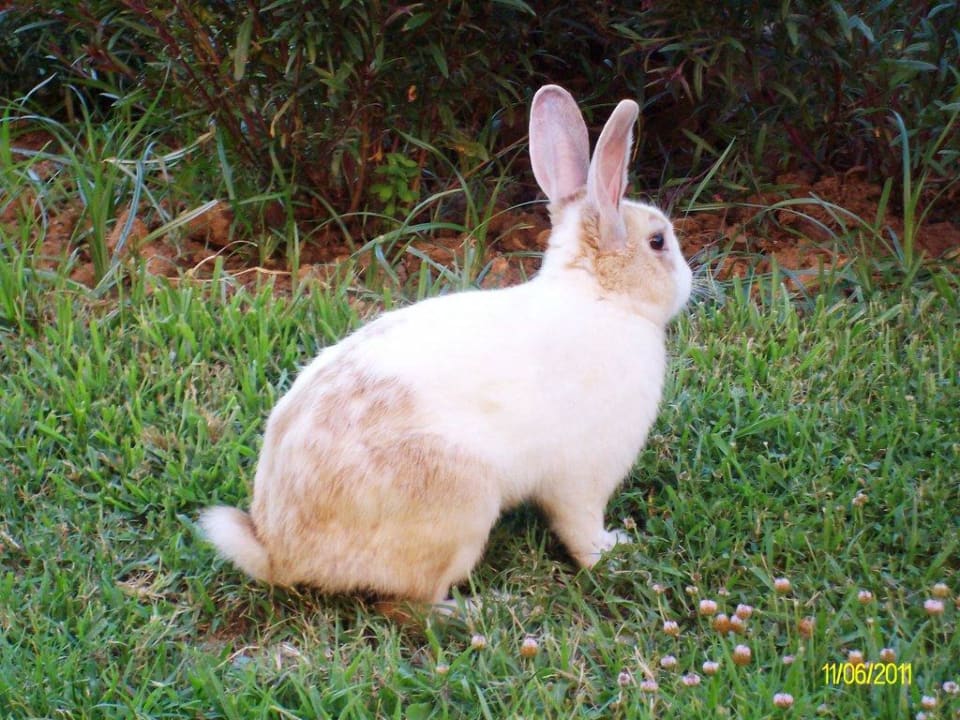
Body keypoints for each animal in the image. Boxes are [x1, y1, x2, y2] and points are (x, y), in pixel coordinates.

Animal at [200, 84, 693, 606]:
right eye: (658, 242)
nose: (691, 281)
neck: (601, 296)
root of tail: (283, 556)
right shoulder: (582, 479)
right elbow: (580, 532)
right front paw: (613, 552)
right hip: (461, 506)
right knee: (413, 604)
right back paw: (481, 608)